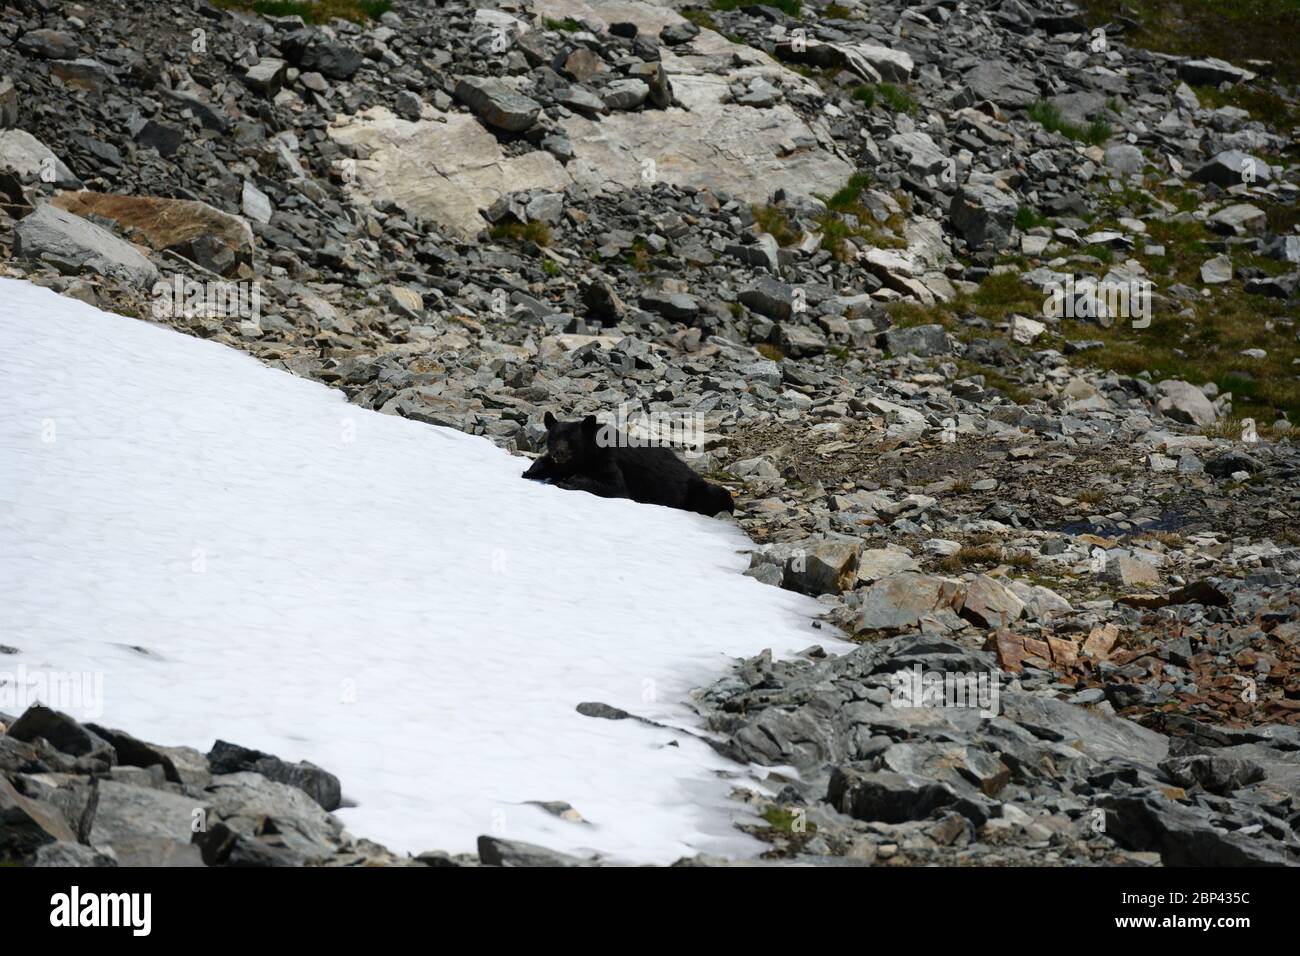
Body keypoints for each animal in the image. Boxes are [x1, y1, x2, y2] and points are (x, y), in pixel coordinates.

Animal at [522, 412, 735, 517]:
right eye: (553, 438)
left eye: (571, 440)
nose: (559, 453)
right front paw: (531, 471)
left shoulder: (608, 460)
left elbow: (615, 486)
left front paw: (568, 481)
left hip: (694, 490)